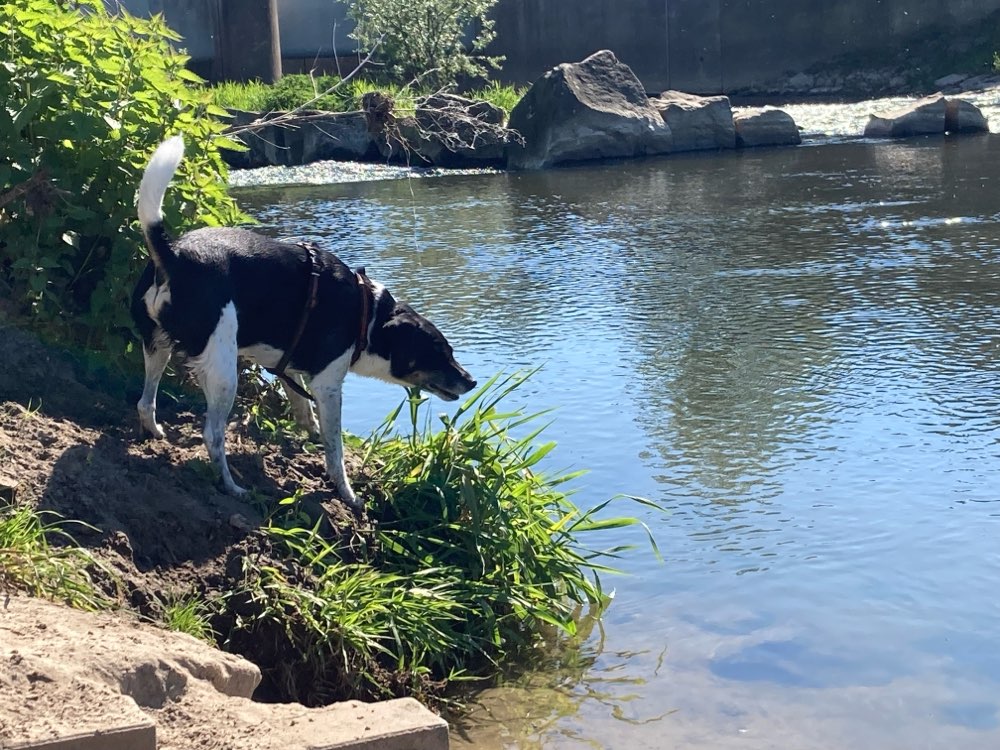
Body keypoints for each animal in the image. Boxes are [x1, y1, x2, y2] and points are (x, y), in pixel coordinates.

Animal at [132, 137, 476, 512]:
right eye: (438, 352)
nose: (471, 381)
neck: (368, 315)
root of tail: (172, 255)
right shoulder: (328, 385)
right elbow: (335, 450)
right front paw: (347, 494)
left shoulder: (287, 364)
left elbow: (302, 407)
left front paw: (307, 431)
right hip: (223, 372)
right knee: (212, 435)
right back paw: (231, 486)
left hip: (157, 347)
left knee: (145, 402)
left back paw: (155, 433)